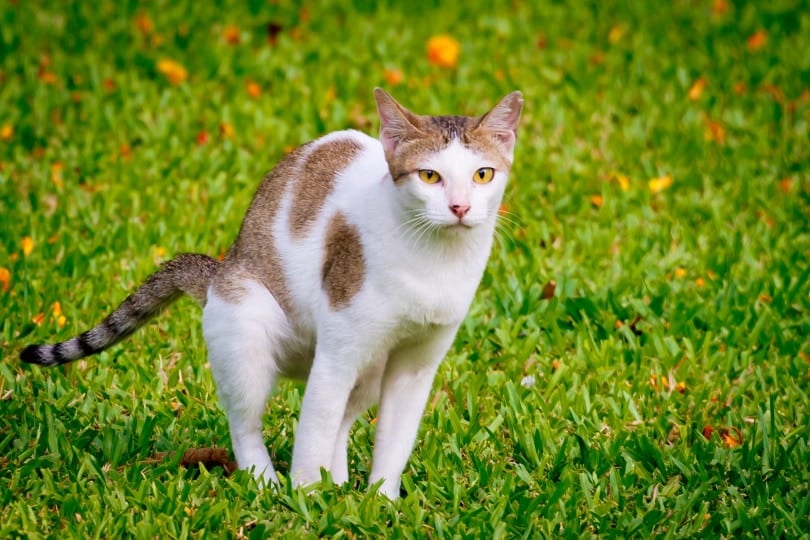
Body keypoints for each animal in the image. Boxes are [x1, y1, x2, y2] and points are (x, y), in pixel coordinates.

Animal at [22, 87, 524, 498]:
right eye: (429, 176)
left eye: (482, 175)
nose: (459, 207)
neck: (435, 262)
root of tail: (219, 269)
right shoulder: (339, 347)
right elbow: (314, 428)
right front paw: (306, 502)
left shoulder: (417, 365)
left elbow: (391, 441)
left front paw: (380, 501)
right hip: (249, 324)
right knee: (247, 422)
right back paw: (265, 481)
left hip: (368, 366)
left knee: (342, 416)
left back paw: (337, 482)